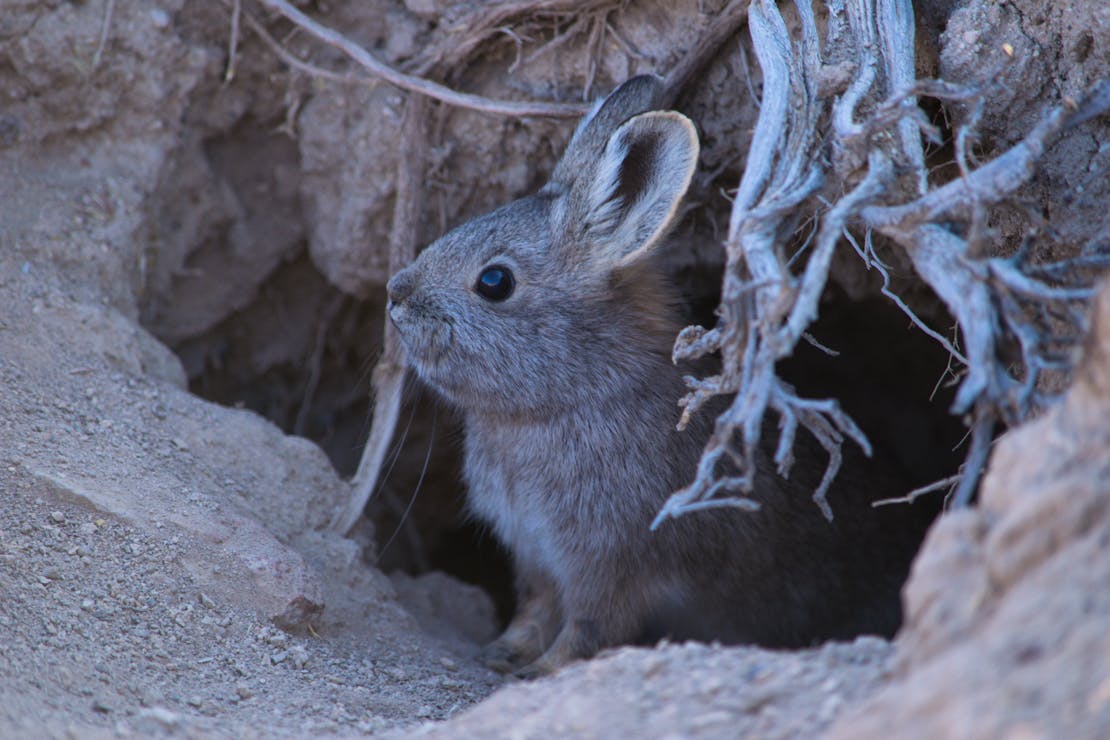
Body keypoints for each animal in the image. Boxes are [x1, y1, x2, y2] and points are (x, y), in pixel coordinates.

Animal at [388, 75, 927, 678]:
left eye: (495, 281)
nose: (396, 295)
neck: (574, 393)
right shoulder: (535, 556)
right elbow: (534, 610)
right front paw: (502, 653)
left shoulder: (612, 562)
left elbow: (589, 626)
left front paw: (543, 671)